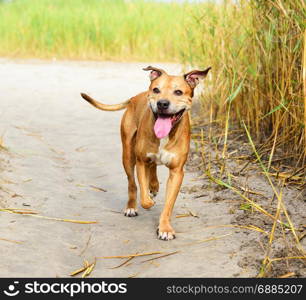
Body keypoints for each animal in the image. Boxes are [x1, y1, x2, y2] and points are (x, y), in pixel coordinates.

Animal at [81, 65, 210, 239]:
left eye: (178, 92)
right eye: (156, 89)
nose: (162, 103)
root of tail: (134, 97)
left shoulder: (177, 172)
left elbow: (168, 205)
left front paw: (165, 228)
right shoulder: (141, 162)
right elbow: (144, 197)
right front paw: (149, 200)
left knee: (152, 167)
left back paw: (154, 185)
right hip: (128, 155)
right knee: (132, 184)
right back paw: (132, 205)